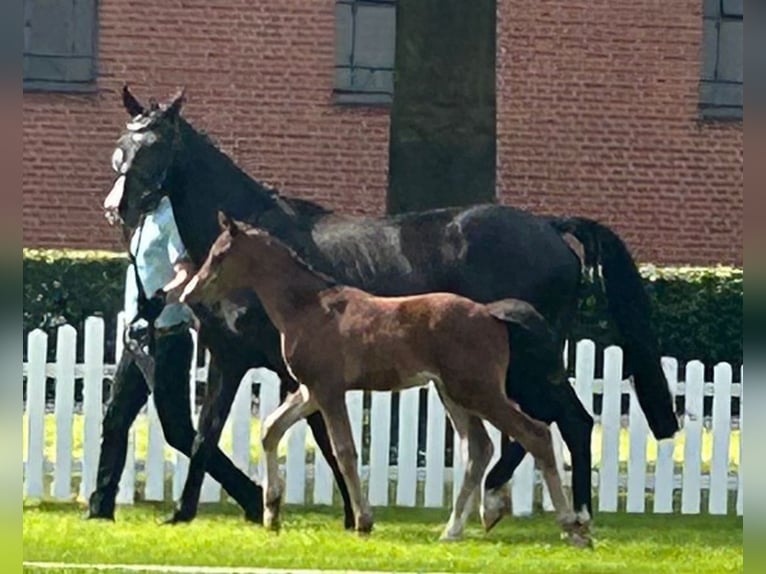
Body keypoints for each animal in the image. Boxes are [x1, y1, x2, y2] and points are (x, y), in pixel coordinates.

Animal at [183, 214, 592, 548]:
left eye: (220, 255)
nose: (189, 293)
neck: (309, 306)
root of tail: (492, 314)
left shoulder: (328, 390)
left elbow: (345, 451)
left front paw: (363, 521)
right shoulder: (310, 390)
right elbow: (270, 429)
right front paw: (271, 513)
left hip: (477, 391)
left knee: (535, 433)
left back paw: (571, 527)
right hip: (452, 393)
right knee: (478, 448)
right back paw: (453, 530)